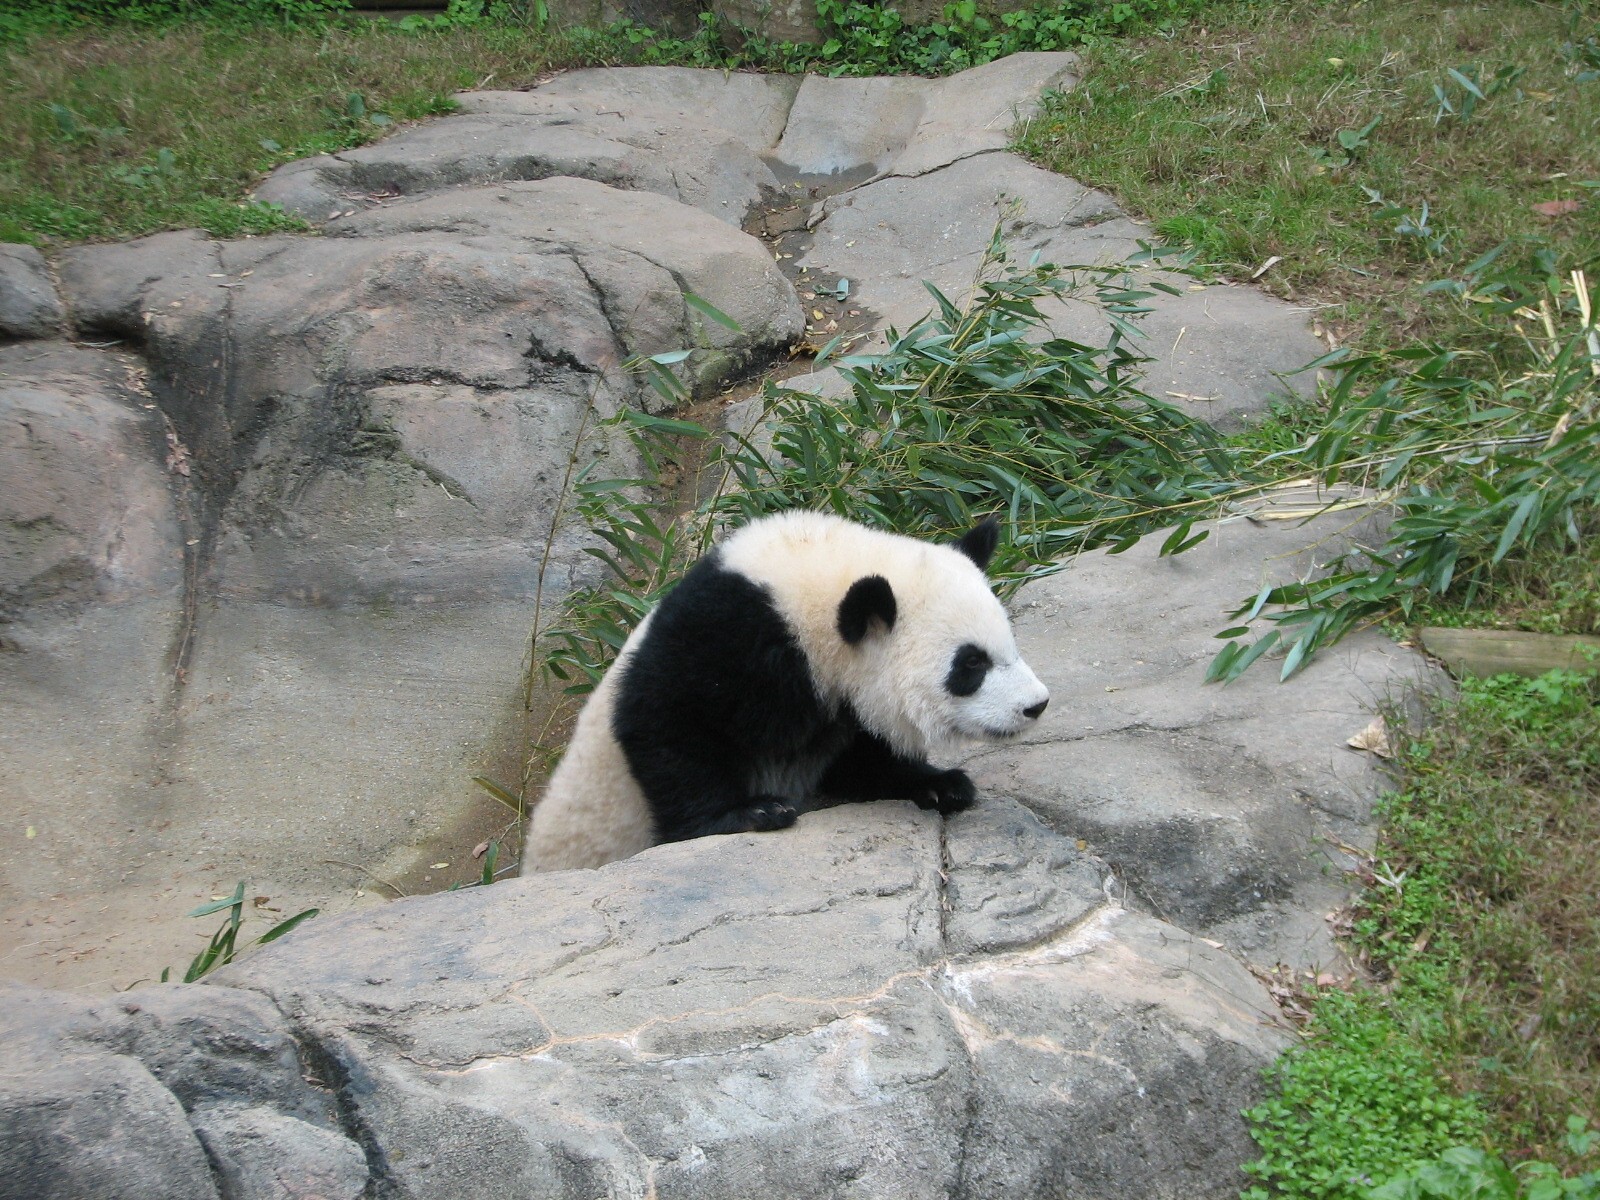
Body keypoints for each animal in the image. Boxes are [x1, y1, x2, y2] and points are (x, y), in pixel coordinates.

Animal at [521, 510, 1050, 873]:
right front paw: (749, 813)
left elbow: (859, 759)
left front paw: (940, 784)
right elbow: (665, 721)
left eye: (1009, 640)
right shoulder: (728, 637)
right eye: (971, 663)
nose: (1036, 705)